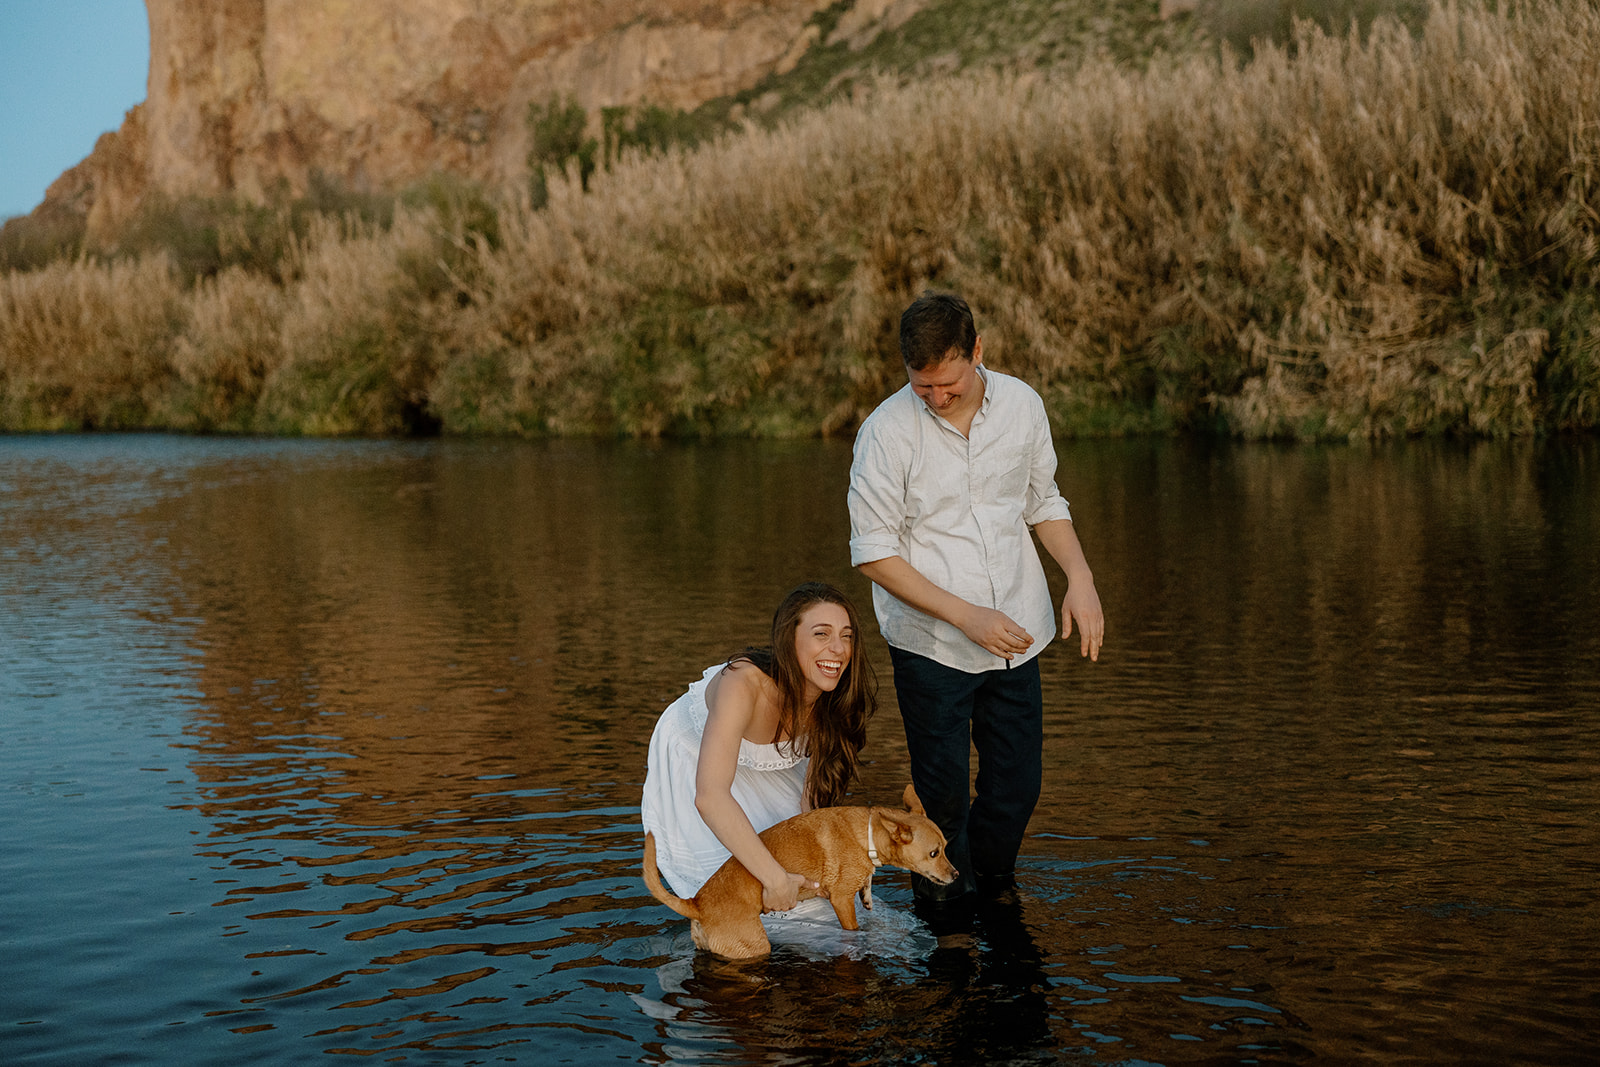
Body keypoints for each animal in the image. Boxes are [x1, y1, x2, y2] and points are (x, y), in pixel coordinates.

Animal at [640, 783, 960, 959]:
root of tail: (696, 903)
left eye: (946, 847)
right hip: (753, 947)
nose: (956, 875)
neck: (868, 833)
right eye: (934, 853)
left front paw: (868, 893)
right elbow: (853, 927)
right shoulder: (841, 902)